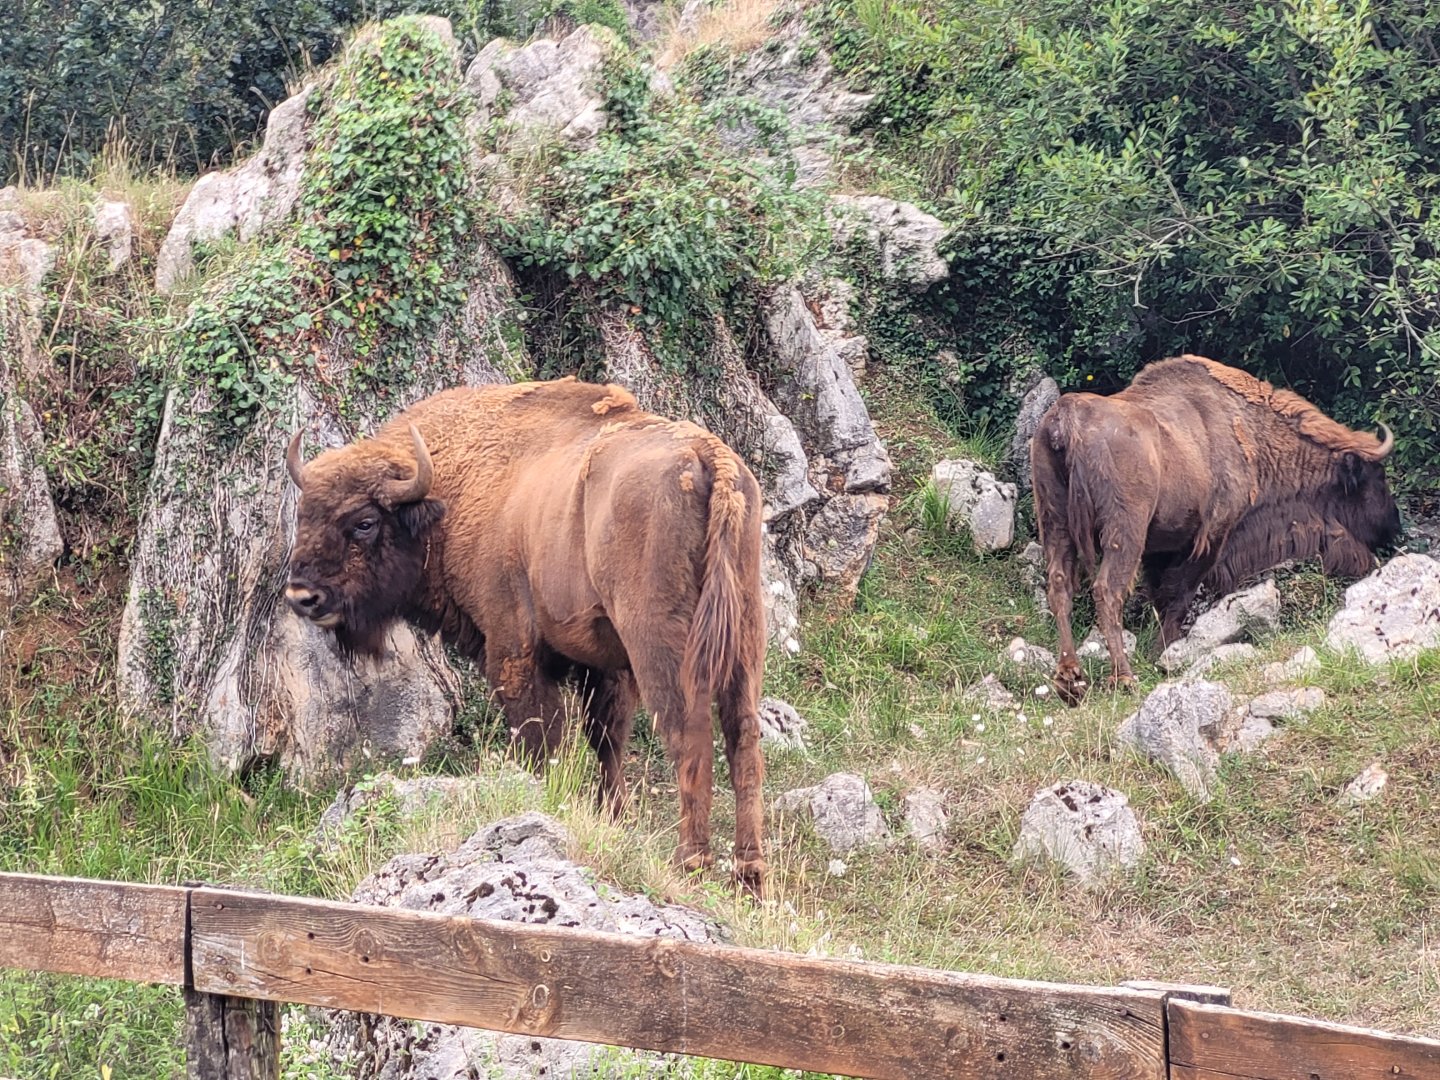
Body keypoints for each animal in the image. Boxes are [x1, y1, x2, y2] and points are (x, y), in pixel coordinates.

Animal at [284, 378, 768, 894]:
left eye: (364, 522)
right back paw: (750, 873)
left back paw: (690, 862)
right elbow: (605, 738)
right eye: (303, 515)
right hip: (744, 638)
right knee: (742, 735)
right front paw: (612, 818)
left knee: (688, 733)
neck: (451, 487)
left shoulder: (513, 647)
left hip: (659, 641)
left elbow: (540, 734)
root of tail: (709, 456)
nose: (303, 596)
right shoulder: (605, 664)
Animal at [1031, 355, 1400, 704]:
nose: (1393, 526)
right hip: (1124, 531)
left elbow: (1163, 596)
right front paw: (1163, 652)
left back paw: (1069, 680)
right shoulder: (1210, 538)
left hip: (1055, 523)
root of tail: (1066, 417)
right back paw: (1124, 678)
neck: (1249, 432)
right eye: (1377, 477)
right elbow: (1177, 595)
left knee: (1060, 587)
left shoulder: (1162, 548)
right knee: (1108, 590)